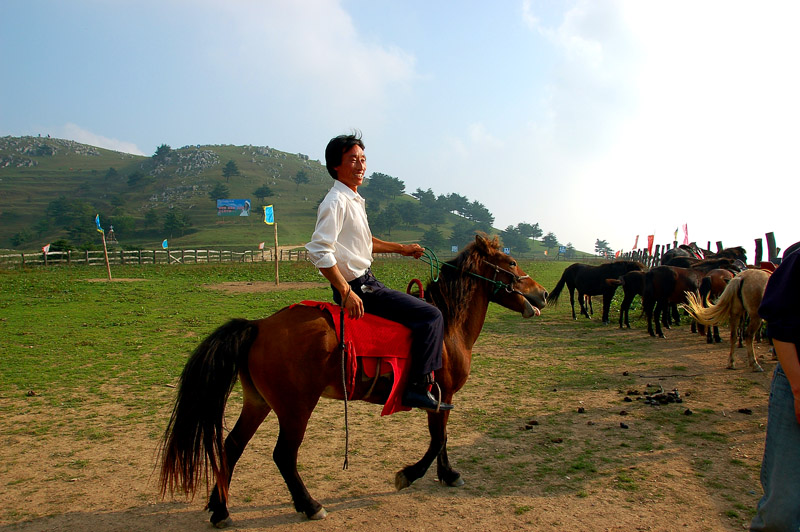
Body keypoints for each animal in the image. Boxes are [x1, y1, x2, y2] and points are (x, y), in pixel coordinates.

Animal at [159, 237, 548, 528]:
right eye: (511, 262)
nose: (543, 294)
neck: (448, 324)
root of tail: (259, 325)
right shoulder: (441, 394)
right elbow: (438, 439)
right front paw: (409, 475)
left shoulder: (442, 398)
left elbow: (442, 439)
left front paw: (448, 474)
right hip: (295, 408)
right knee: (283, 454)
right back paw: (310, 505)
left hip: (259, 403)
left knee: (231, 447)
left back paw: (220, 509)